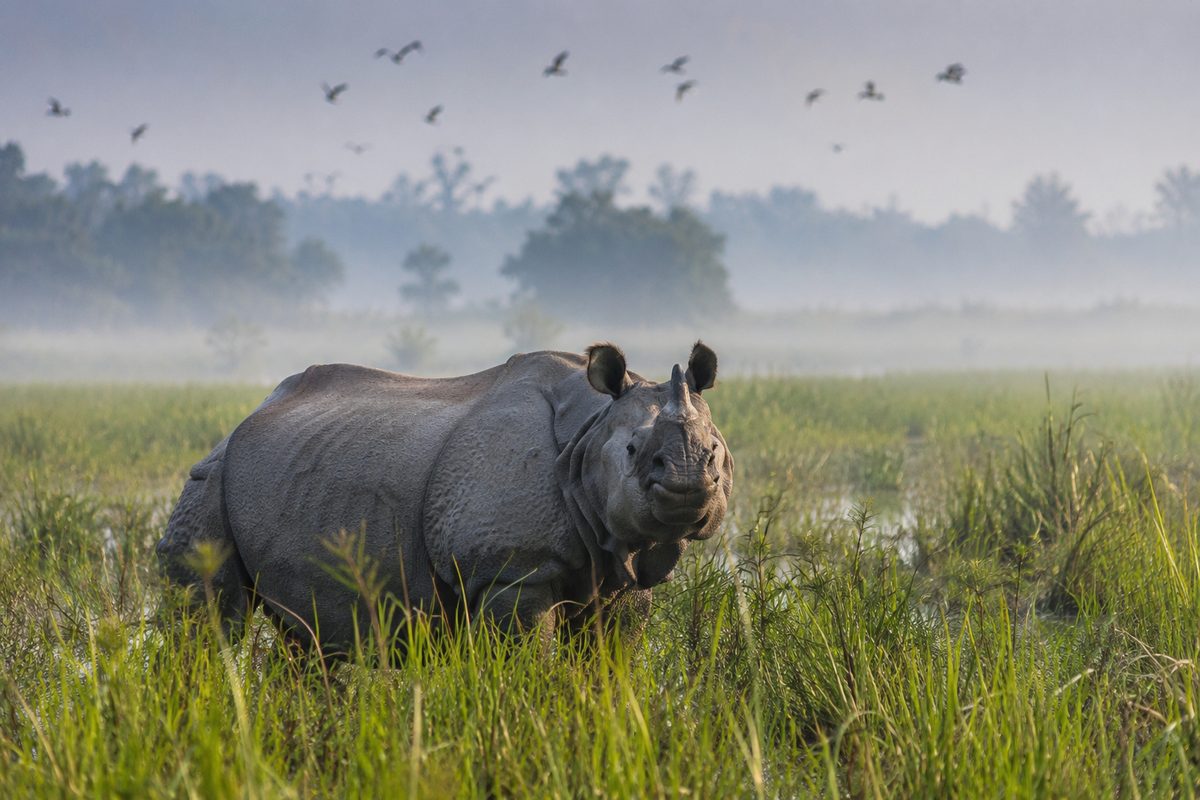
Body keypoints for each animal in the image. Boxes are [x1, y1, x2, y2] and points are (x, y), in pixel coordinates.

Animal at [157, 342, 733, 651]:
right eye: (633, 450)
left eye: (716, 452)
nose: (687, 481)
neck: (590, 428)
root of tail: (252, 412)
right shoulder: (510, 569)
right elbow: (528, 665)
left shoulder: (621, 570)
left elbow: (610, 664)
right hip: (213, 473)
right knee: (211, 616)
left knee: (308, 640)